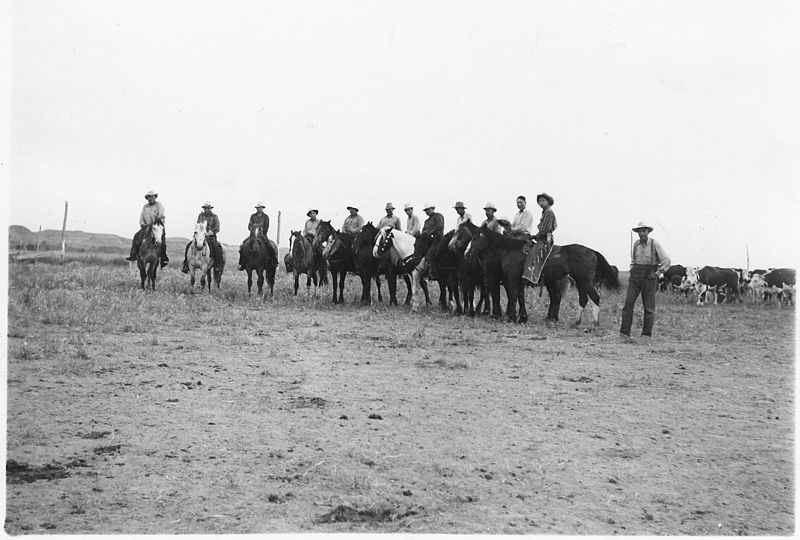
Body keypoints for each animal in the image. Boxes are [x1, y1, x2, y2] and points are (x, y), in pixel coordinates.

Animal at [468, 225, 620, 324]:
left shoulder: (511, 280)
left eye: (476, 237)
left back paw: (594, 323)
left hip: (584, 281)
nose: (467, 253)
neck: (510, 250)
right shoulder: (517, 281)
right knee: (581, 298)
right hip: (578, 282)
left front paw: (511, 317)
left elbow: (512, 296)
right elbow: (520, 298)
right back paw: (574, 321)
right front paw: (521, 318)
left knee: (594, 297)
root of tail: (592, 251)